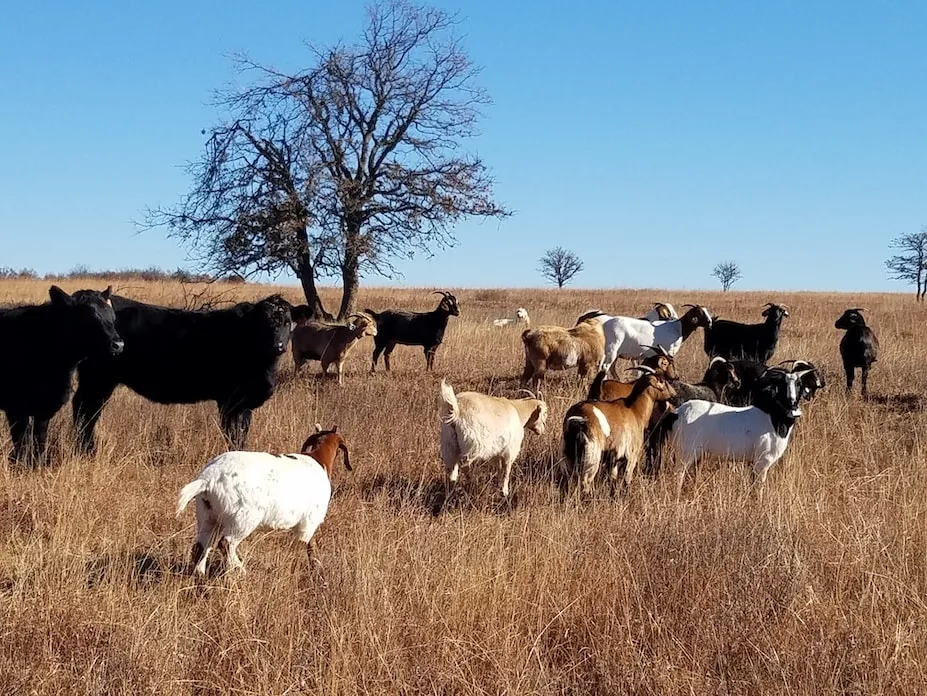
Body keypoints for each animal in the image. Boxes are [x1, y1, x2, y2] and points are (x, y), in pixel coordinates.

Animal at [176, 425, 351, 575]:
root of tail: (208, 479)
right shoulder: (309, 522)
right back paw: (241, 570)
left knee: (202, 546)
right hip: (242, 518)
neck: (319, 460)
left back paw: (200, 575)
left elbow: (310, 545)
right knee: (226, 543)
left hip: (207, 515)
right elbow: (301, 548)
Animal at [436, 380, 547, 512]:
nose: (542, 430)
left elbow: (499, 469)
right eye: (545, 413)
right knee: (465, 466)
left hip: (449, 445)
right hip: (472, 444)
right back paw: (472, 487)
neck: (518, 411)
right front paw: (505, 491)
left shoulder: (496, 453)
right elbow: (506, 471)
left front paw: (498, 487)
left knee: (452, 471)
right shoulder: (509, 451)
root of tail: (457, 410)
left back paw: (451, 493)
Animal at [561, 366, 676, 496]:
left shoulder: (615, 457)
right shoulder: (632, 454)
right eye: (662, 381)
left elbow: (613, 478)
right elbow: (627, 479)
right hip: (592, 456)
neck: (634, 410)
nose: (674, 394)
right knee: (586, 482)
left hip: (567, 454)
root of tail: (577, 418)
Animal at [581, 304, 713, 376]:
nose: (710, 322)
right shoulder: (668, 353)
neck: (677, 328)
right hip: (611, 351)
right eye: (700, 312)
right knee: (604, 367)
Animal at [664, 367, 814, 494]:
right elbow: (758, 489)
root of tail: (676, 413)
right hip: (685, 453)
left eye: (799, 384)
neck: (773, 418)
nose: (792, 401)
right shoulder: (761, 462)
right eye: (783, 384)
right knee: (677, 476)